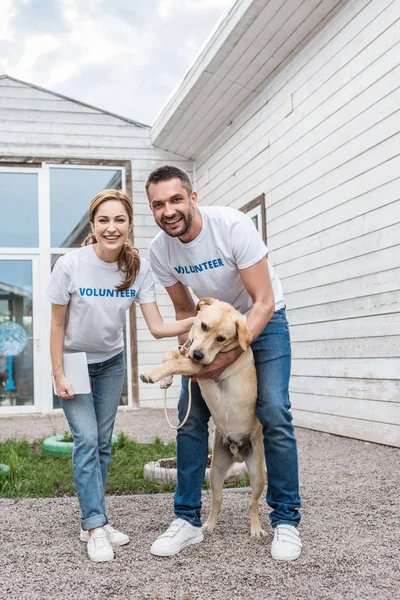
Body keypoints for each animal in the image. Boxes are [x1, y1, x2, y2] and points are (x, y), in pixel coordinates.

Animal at [139, 298, 268, 536]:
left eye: (221, 339)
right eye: (204, 326)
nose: (198, 354)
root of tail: (237, 451)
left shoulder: (200, 365)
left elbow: (174, 361)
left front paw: (153, 374)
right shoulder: (188, 355)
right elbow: (170, 354)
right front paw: (165, 380)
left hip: (257, 474)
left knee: (252, 503)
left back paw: (256, 529)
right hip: (215, 472)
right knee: (218, 499)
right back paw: (208, 525)